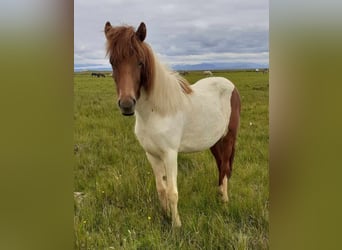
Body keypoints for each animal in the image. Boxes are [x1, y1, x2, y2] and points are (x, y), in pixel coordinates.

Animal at [104, 22, 240, 229]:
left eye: (140, 62)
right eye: (113, 62)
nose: (127, 104)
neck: (156, 112)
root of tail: (231, 86)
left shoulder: (170, 154)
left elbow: (172, 192)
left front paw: (176, 225)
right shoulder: (152, 154)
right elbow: (161, 188)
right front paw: (165, 215)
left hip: (229, 137)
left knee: (225, 167)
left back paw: (224, 201)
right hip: (214, 141)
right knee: (220, 165)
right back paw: (218, 195)